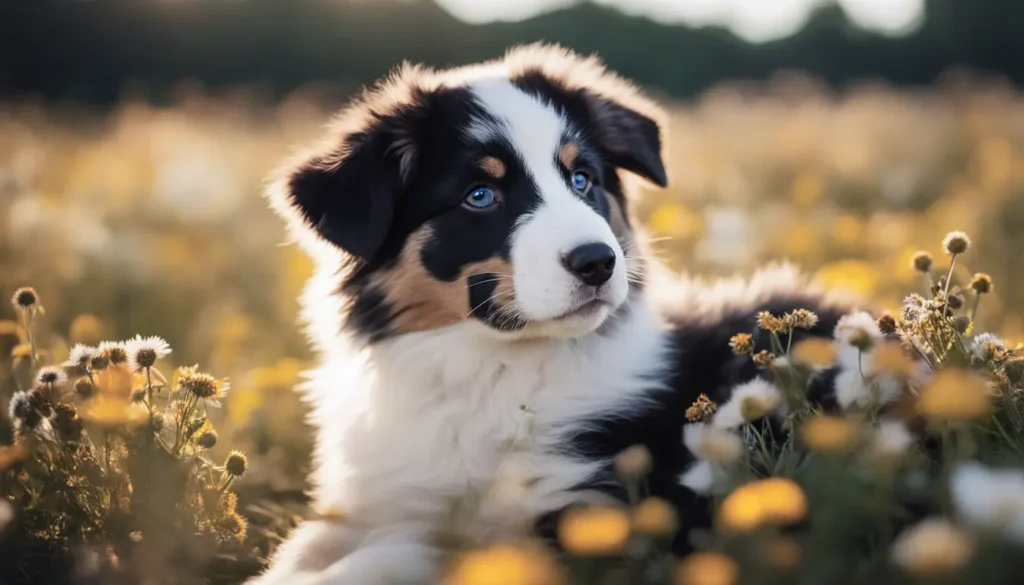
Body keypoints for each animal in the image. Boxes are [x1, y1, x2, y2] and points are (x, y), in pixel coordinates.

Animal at [251, 43, 860, 581]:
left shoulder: (581, 517)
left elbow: (406, 554)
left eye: (582, 179)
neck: (488, 373)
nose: (598, 262)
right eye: (480, 195)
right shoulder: (373, 500)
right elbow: (308, 549)